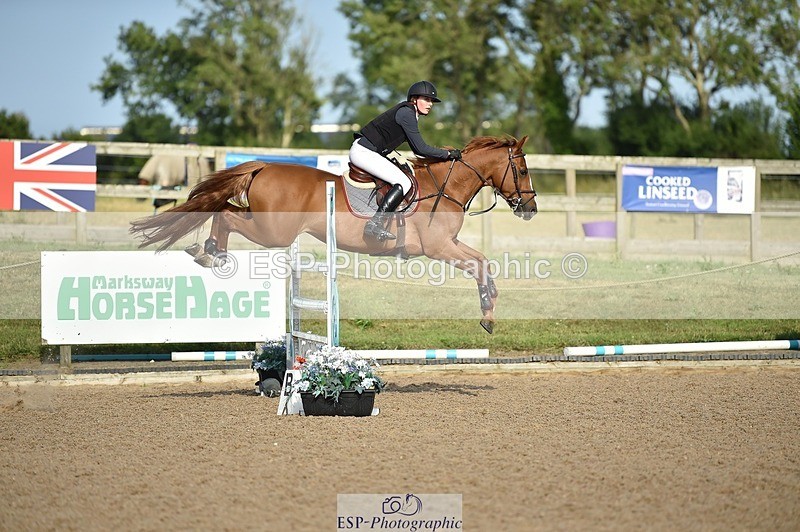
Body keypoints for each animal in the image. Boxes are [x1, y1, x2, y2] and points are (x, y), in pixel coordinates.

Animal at [130, 135, 538, 333]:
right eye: (521, 169)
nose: (530, 208)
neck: (445, 185)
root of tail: (264, 166)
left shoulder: (448, 245)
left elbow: (483, 261)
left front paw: (490, 308)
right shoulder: (437, 248)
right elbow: (477, 264)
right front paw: (487, 312)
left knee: (224, 210)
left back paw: (207, 251)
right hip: (273, 231)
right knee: (226, 214)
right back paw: (211, 251)